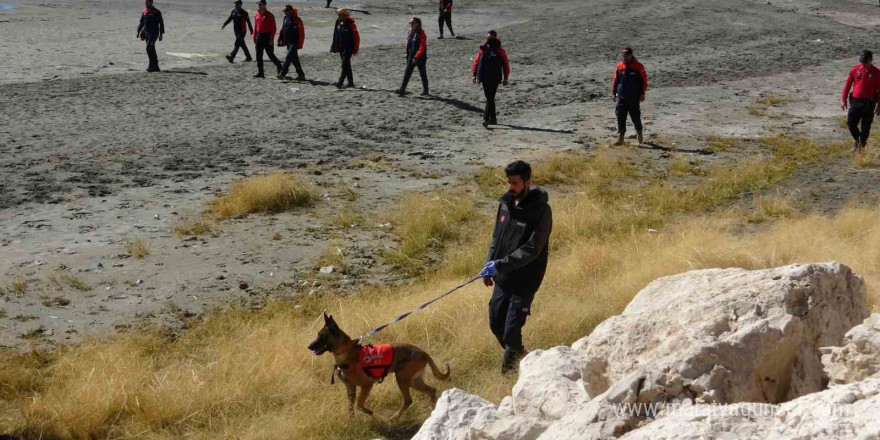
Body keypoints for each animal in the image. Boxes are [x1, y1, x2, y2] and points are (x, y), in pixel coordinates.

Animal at [308, 312, 450, 418]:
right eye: (318, 335)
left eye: (322, 336)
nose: (309, 346)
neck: (346, 354)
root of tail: (423, 352)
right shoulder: (350, 388)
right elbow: (351, 408)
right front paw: (351, 422)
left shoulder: (367, 385)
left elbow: (359, 404)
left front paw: (371, 413)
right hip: (413, 381)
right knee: (431, 390)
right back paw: (432, 409)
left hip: (402, 378)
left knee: (408, 400)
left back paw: (394, 418)